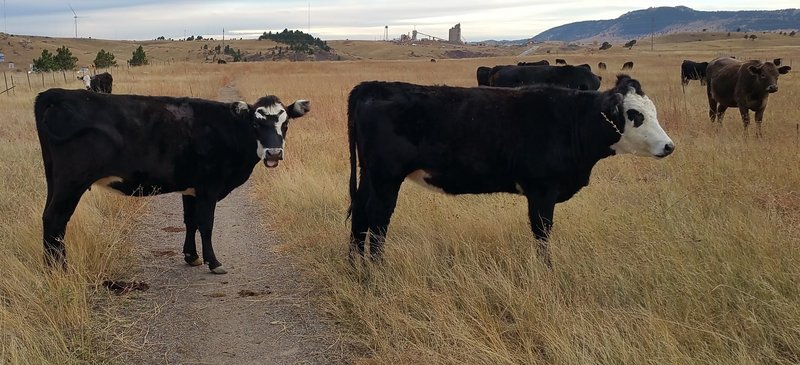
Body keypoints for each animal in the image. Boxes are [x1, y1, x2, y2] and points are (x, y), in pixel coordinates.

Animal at [36, 88, 310, 272]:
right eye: (255, 123)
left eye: (285, 125)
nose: (273, 153)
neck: (227, 130)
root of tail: (56, 94)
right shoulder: (209, 187)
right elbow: (206, 224)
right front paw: (214, 262)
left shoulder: (191, 189)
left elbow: (191, 222)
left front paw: (192, 256)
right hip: (71, 182)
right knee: (55, 220)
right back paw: (60, 270)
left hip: (54, 180)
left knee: (48, 218)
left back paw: (50, 268)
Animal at [348, 75, 676, 266]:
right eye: (635, 115)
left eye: (654, 112)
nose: (669, 146)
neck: (571, 120)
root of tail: (372, 86)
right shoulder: (542, 190)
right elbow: (542, 232)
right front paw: (546, 271)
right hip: (386, 177)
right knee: (378, 219)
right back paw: (376, 270)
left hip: (370, 176)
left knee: (361, 213)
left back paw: (355, 266)